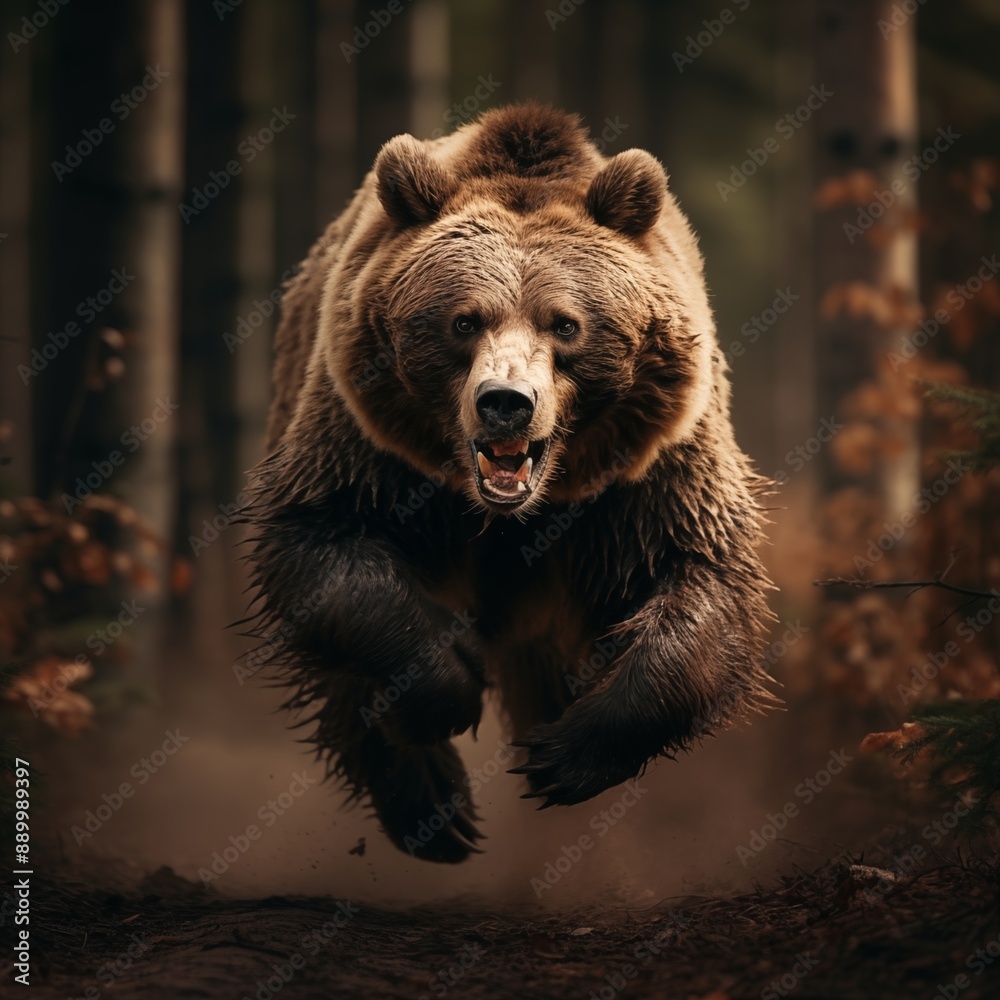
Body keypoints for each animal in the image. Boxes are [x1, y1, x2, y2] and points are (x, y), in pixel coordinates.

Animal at [245, 104, 777, 863]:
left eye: (567, 324)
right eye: (464, 320)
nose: (506, 402)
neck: (512, 512)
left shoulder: (648, 471)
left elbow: (701, 578)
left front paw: (565, 751)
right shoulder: (370, 445)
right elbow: (324, 550)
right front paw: (449, 683)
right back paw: (431, 804)